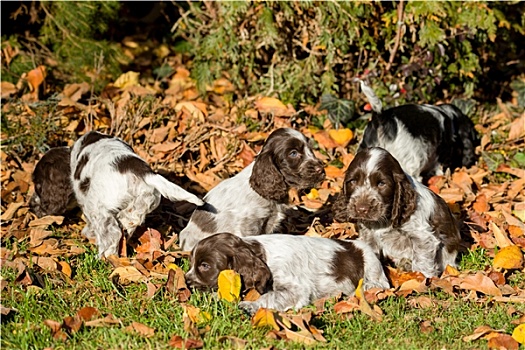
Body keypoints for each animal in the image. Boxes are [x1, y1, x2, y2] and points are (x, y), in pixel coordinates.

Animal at [68, 131, 203, 258]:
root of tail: (145, 173)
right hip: (139, 205)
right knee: (127, 225)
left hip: (99, 207)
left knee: (112, 234)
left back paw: (104, 257)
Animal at [184, 232, 388, 314]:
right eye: (192, 262)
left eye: (205, 266)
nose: (185, 282)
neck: (261, 254)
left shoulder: (294, 288)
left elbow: (271, 297)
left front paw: (249, 306)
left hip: (371, 265)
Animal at [332, 146, 458, 278]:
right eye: (353, 181)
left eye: (381, 183)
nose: (361, 209)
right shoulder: (369, 237)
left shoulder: (422, 238)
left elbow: (422, 263)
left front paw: (422, 279)